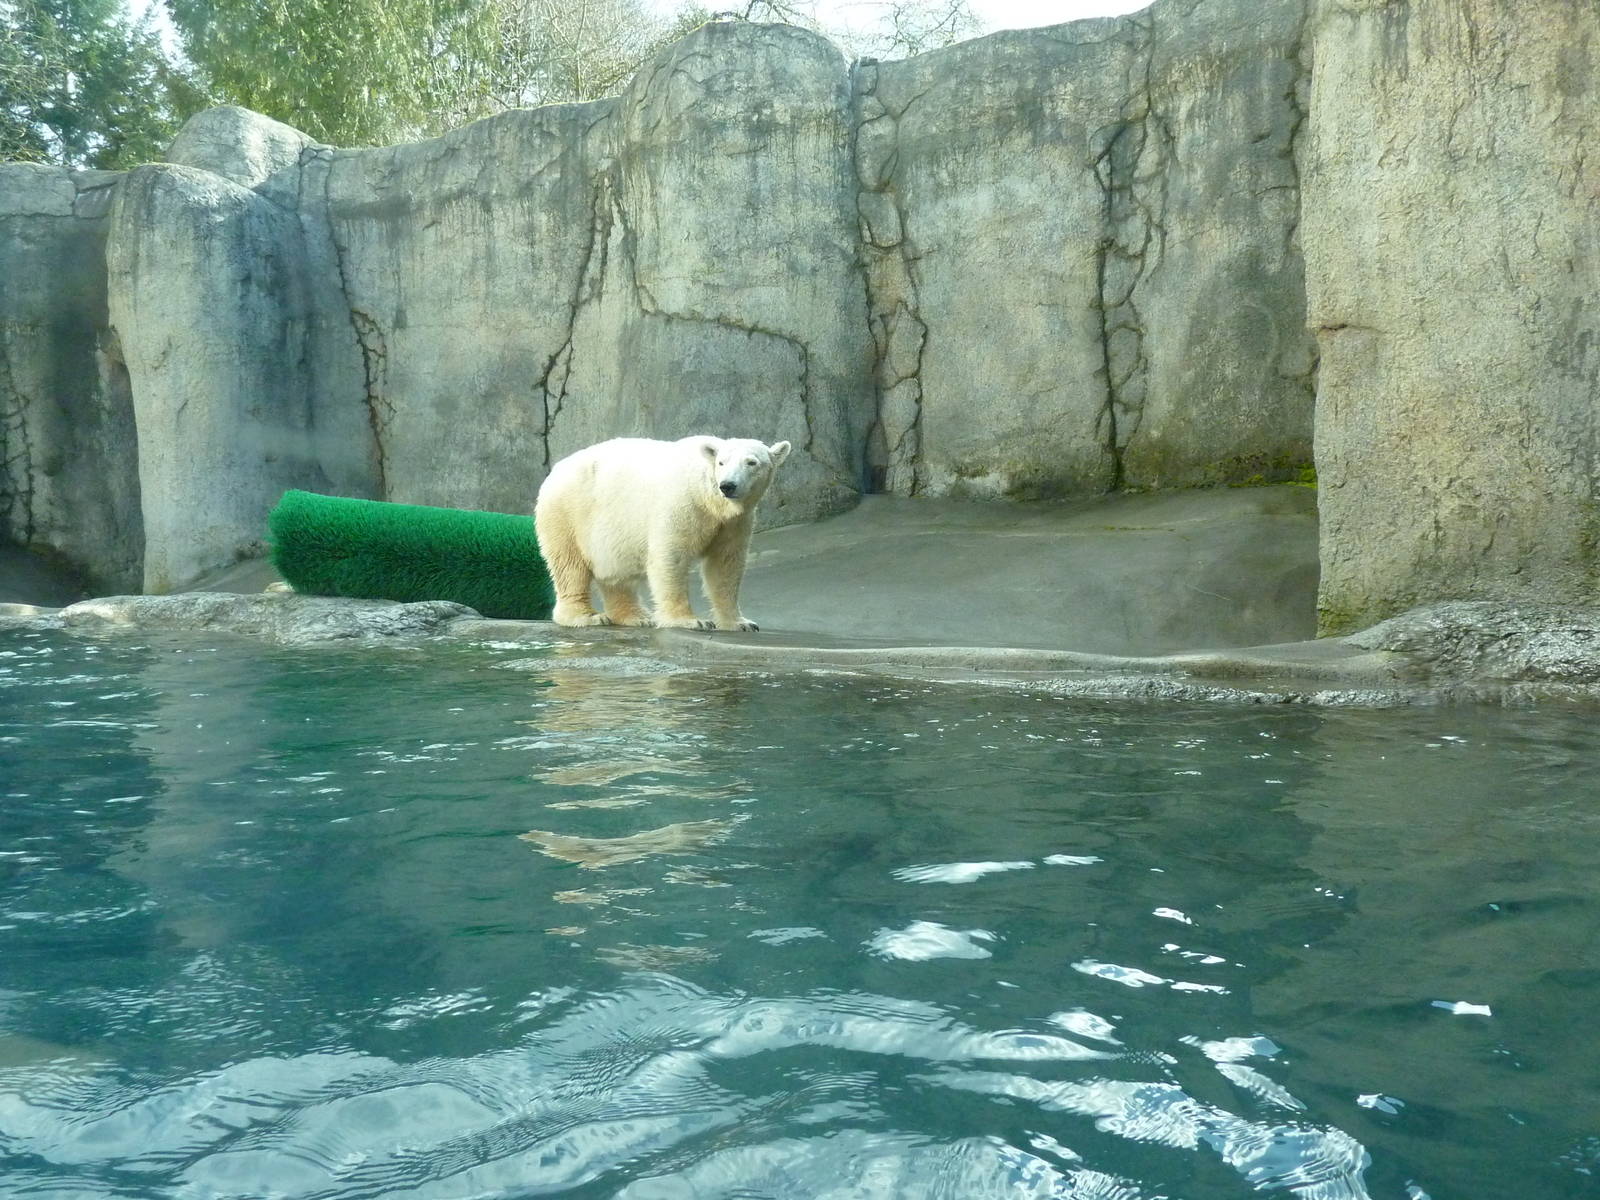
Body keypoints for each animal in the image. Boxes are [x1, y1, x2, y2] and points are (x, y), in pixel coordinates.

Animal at [534, 435, 792, 631]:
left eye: (752, 462)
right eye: (721, 462)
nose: (728, 485)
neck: (709, 498)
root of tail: (554, 472)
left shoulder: (734, 523)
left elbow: (725, 564)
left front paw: (740, 623)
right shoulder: (682, 504)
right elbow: (672, 556)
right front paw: (691, 621)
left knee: (614, 574)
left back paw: (638, 617)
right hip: (569, 514)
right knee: (570, 566)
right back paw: (587, 617)